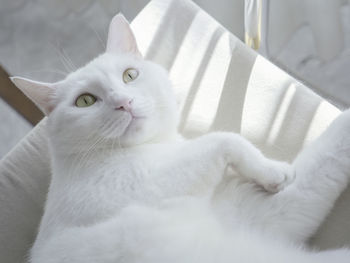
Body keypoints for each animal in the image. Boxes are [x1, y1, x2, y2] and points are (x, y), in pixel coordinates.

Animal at [12, 12, 350, 263]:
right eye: (84, 101)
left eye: (129, 75)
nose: (124, 102)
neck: (157, 149)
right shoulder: (141, 185)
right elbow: (224, 139)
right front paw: (271, 171)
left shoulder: (268, 215)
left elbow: (321, 164)